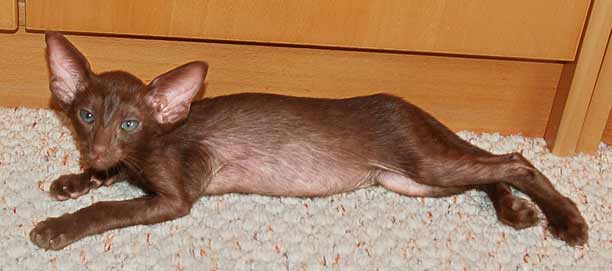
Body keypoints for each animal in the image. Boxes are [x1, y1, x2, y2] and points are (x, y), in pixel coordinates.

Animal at [29, 31, 588, 251]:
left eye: (130, 123)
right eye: (85, 116)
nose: (97, 148)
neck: (157, 140)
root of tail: (408, 107)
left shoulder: (176, 194)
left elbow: (110, 209)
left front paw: (59, 226)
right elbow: (111, 178)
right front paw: (77, 179)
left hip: (421, 164)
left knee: (513, 160)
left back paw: (566, 218)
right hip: (409, 180)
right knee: (486, 172)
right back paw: (515, 210)